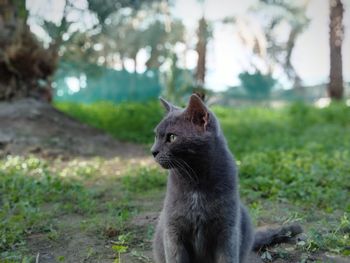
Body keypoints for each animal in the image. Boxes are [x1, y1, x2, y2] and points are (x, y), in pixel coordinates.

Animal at [152, 95, 302, 263]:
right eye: (156, 136)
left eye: (172, 137)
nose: (153, 151)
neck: (196, 180)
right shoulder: (173, 230)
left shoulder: (228, 229)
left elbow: (227, 257)